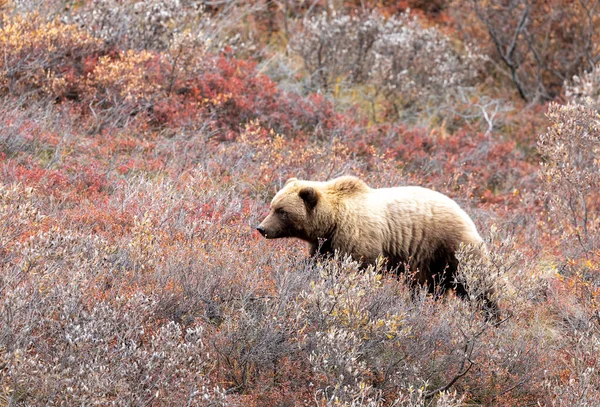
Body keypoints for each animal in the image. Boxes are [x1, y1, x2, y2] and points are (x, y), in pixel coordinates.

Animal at [258, 176, 496, 316]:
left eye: (282, 211)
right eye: (272, 206)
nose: (261, 228)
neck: (331, 222)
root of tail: (466, 214)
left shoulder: (357, 238)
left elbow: (357, 268)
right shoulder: (326, 246)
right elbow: (319, 265)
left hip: (450, 246)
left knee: (477, 286)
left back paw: (492, 316)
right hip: (428, 263)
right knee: (428, 288)